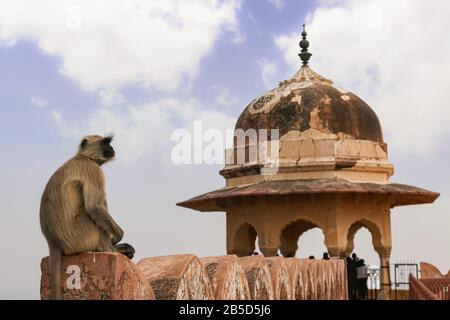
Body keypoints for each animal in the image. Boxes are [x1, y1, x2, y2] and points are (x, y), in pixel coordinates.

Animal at [39, 135, 134, 300]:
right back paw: (109, 248)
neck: (83, 157)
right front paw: (117, 238)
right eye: (105, 142)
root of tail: (53, 241)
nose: (112, 148)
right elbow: (94, 207)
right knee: (92, 209)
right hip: (80, 236)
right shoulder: (91, 168)